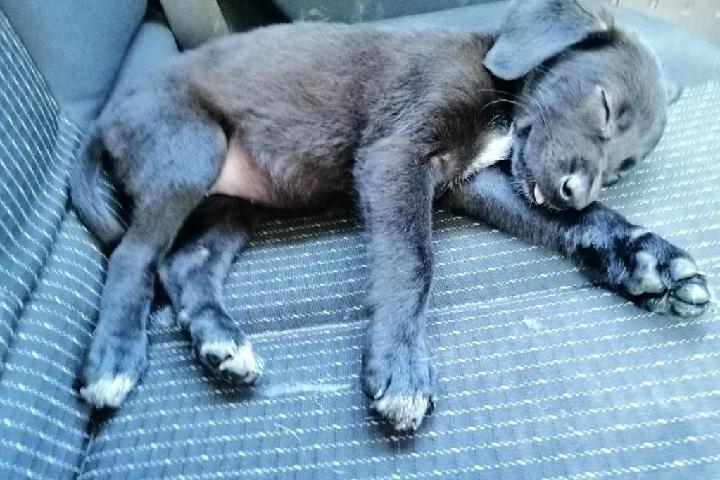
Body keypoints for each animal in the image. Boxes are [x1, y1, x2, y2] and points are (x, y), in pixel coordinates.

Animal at [70, 0, 710, 431]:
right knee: (133, 255)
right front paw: (400, 365)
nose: (572, 192)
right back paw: (114, 360)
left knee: (185, 263)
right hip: (189, 150)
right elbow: (412, 262)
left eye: (623, 169)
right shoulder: (396, 154)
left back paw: (220, 342)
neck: (500, 89)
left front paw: (648, 259)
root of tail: (108, 114)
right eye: (603, 105)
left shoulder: (478, 178)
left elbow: (587, 220)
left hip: (234, 203)